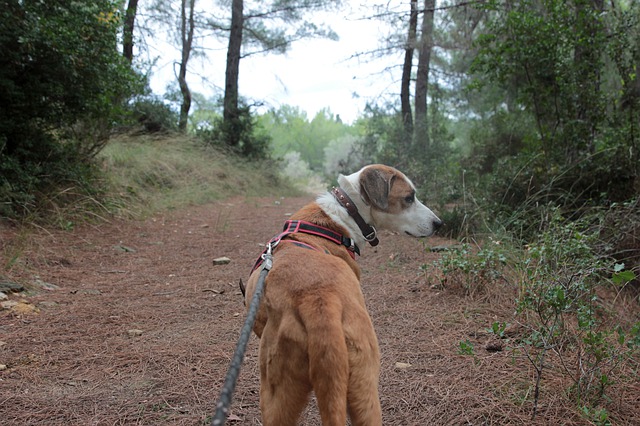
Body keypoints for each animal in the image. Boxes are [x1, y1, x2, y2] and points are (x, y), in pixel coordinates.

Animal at [242, 164, 442, 426]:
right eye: (409, 198)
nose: (439, 223)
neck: (343, 214)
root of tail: (318, 302)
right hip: (362, 382)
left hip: (277, 392)